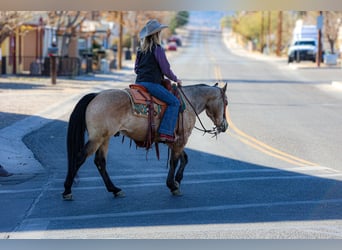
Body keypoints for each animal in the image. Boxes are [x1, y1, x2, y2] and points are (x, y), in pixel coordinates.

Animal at [63, 83, 230, 200]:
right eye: (226, 102)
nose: (225, 126)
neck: (189, 103)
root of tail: (96, 95)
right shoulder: (182, 138)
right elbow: (175, 161)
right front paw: (173, 185)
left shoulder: (175, 141)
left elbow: (184, 158)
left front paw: (177, 180)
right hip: (98, 138)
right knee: (80, 158)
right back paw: (67, 190)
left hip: (105, 138)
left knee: (100, 162)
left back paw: (115, 189)